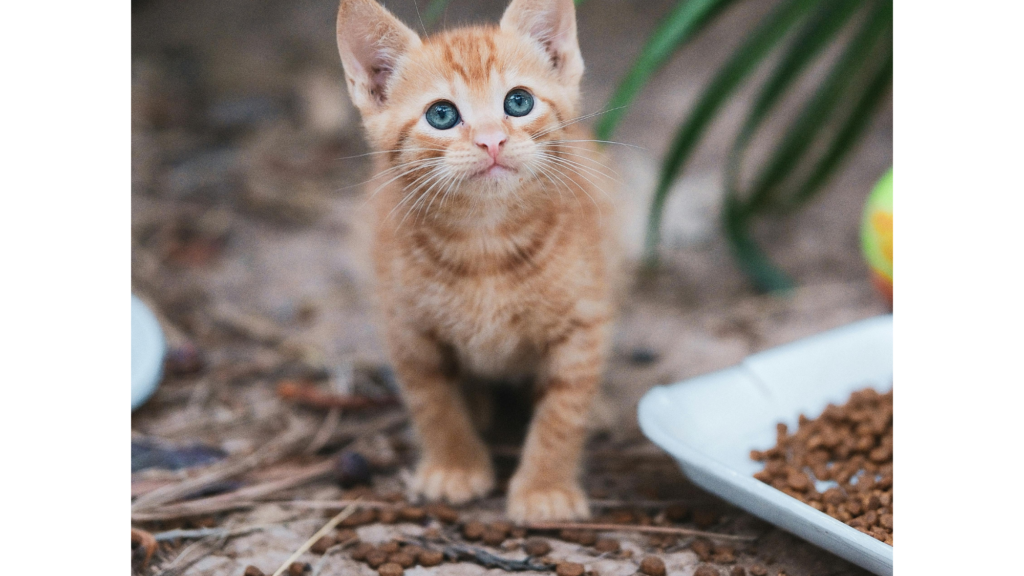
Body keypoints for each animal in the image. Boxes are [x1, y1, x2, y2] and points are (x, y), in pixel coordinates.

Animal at [339, 0, 618, 520]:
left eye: (518, 103)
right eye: (442, 114)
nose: (491, 140)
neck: (485, 242)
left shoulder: (583, 321)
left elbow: (564, 409)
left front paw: (545, 487)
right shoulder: (406, 325)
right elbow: (433, 400)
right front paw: (454, 465)